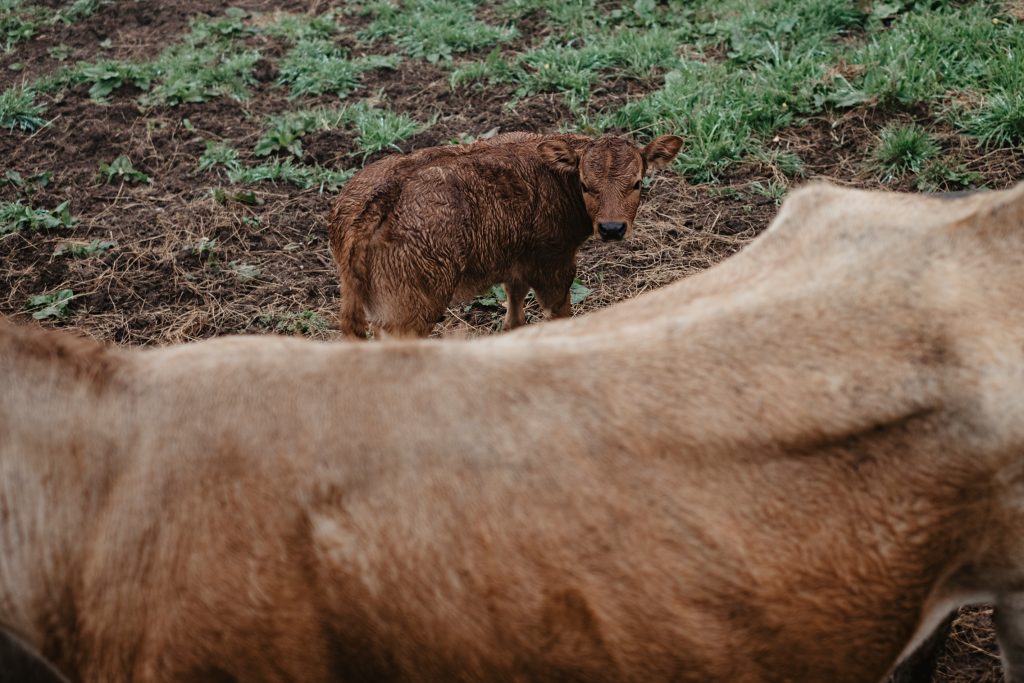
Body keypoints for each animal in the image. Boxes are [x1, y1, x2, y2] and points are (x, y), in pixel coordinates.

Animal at [325, 132, 679, 339]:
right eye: (585, 185)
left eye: (636, 182)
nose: (612, 228)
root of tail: (381, 195)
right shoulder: (554, 264)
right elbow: (559, 316)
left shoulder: (516, 261)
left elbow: (514, 314)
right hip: (411, 310)